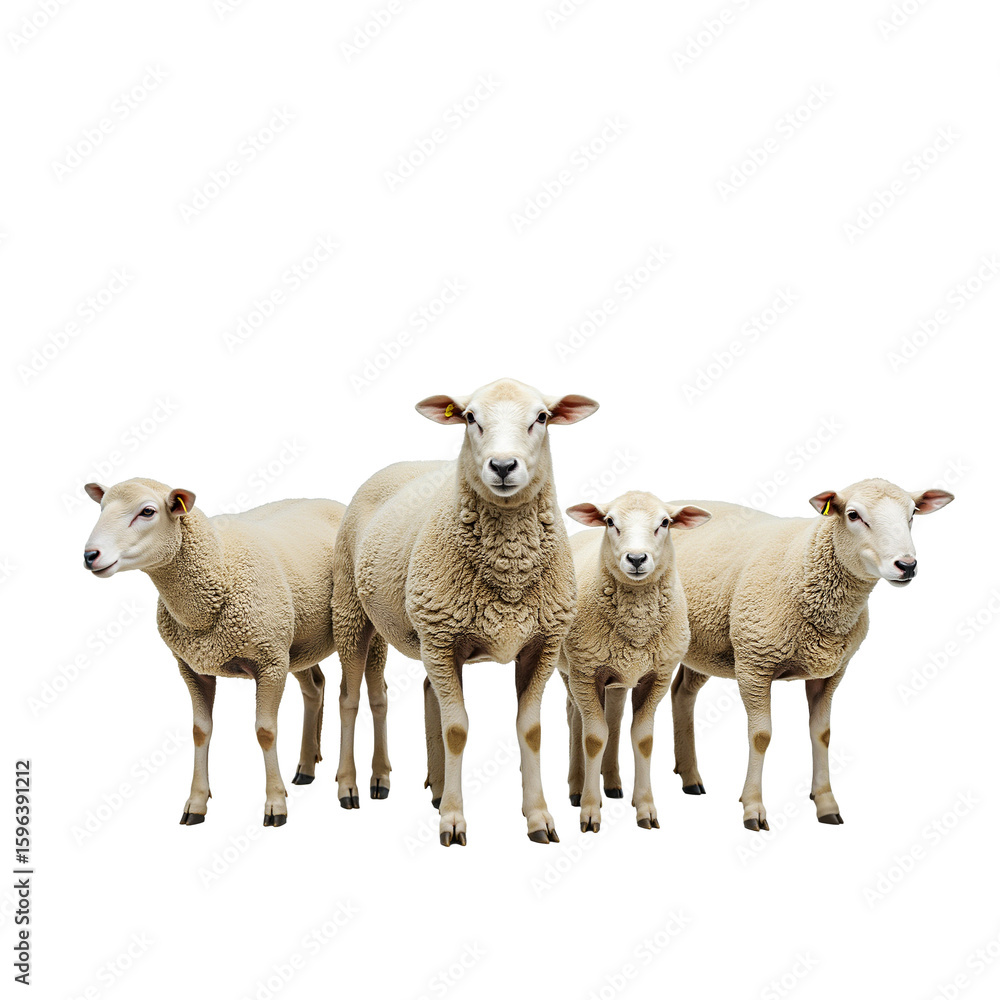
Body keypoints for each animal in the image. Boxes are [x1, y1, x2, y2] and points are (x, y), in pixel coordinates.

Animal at [82, 477, 356, 827]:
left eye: (147, 511)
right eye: (101, 508)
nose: (90, 555)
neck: (220, 565)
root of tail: (333, 502)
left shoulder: (269, 661)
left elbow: (266, 731)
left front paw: (275, 804)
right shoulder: (193, 667)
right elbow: (200, 731)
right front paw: (196, 802)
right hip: (298, 642)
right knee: (315, 688)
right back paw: (306, 767)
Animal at [332, 378, 599, 845]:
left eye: (542, 417)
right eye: (471, 417)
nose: (504, 465)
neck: (509, 572)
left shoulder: (541, 645)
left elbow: (530, 730)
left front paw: (539, 817)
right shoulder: (442, 637)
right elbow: (457, 730)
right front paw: (453, 821)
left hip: (418, 631)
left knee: (418, 693)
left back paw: (416, 784)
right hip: (354, 611)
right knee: (350, 697)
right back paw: (350, 786)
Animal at [558, 492, 711, 832]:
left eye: (665, 522)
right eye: (609, 521)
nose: (637, 558)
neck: (637, 628)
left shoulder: (656, 677)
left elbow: (642, 739)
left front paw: (645, 808)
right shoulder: (585, 671)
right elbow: (593, 737)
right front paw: (590, 811)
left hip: (616, 676)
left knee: (612, 718)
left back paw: (613, 783)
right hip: (571, 670)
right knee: (576, 718)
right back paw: (576, 787)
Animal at [602, 478, 954, 831]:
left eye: (913, 513)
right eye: (853, 515)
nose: (906, 565)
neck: (806, 562)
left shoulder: (830, 673)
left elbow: (822, 734)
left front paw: (826, 802)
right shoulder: (754, 662)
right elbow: (761, 736)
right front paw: (753, 808)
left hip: (704, 646)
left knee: (682, 694)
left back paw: (690, 777)